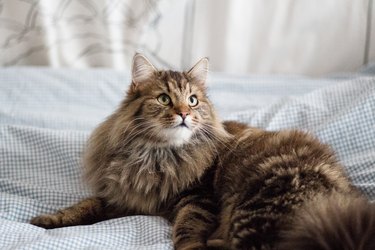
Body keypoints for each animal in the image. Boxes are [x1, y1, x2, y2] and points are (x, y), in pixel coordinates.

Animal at [30, 53, 374, 249]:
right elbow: (84, 207)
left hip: (256, 205)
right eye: (164, 99)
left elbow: (187, 228)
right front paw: (46, 220)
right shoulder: (127, 197)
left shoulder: (196, 198)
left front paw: (191, 247)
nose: (184, 113)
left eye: (193, 100)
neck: (156, 155)